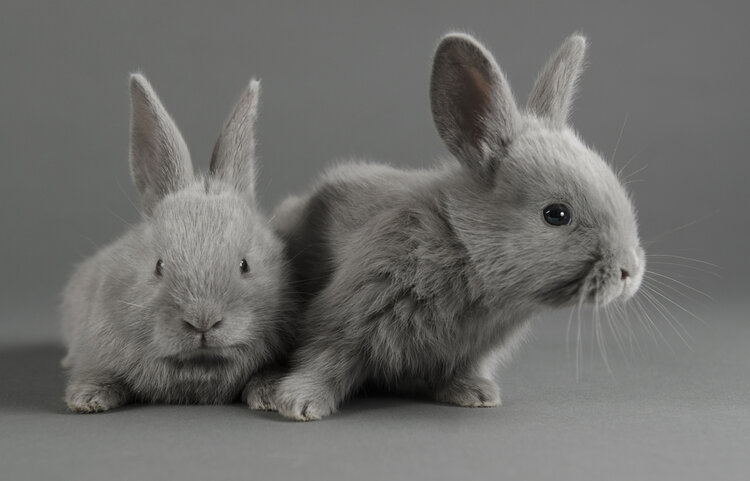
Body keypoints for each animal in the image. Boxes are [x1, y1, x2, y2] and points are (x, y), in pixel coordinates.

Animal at [62, 73, 290, 410]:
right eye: (159, 266)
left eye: (245, 265)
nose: (202, 321)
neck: (198, 366)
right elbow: (100, 370)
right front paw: (87, 398)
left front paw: (270, 394)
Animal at [274, 32, 648, 420]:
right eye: (556, 215)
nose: (629, 270)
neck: (462, 248)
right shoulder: (346, 315)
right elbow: (326, 358)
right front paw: (299, 403)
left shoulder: (469, 352)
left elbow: (459, 372)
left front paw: (478, 395)